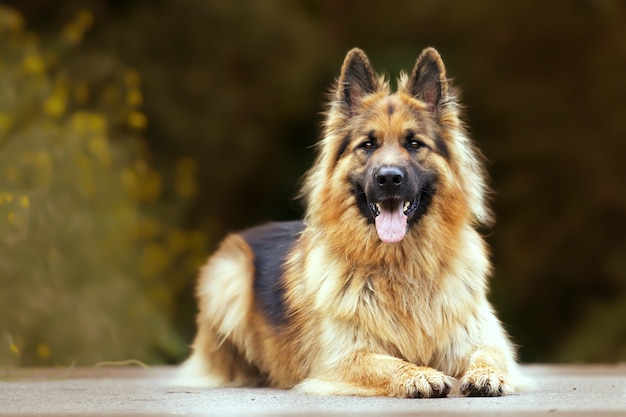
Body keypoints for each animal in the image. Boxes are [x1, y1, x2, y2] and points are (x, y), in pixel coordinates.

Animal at [178, 46, 524, 396]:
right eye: (367, 145)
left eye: (414, 143)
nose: (389, 179)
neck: (400, 266)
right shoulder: (344, 358)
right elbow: (388, 362)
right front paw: (418, 374)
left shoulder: (478, 339)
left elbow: (489, 354)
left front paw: (487, 375)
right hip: (230, 277)